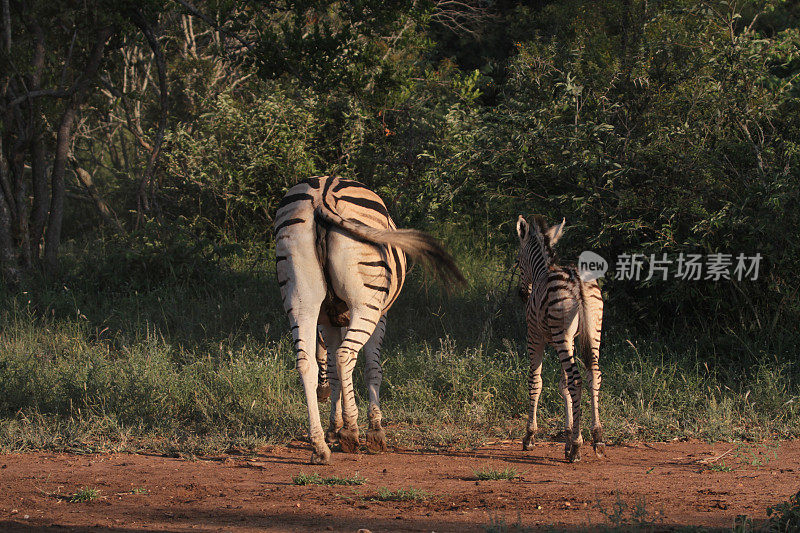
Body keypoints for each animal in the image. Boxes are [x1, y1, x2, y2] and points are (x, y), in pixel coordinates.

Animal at [276, 177, 462, 464]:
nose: (322, 395)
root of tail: (323, 193)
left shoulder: (329, 320)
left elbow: (332, 369)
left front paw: (334, 428)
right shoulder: (381, 315)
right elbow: (372, 368)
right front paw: (372, 429)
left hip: (300, 298)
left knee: (305, 363)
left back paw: (319, 446)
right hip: (367, 304)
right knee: (345, 355)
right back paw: (352, 432)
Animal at [516, 214, 604, 460]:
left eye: (517, 260)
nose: (522, 294)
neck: (541, 271)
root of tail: (577, 280)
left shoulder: (535, 336)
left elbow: (536, 381)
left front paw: (530, 436)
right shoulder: (571, 339)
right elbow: (563, 384)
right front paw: (567, 435)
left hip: (560, 334)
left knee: (577, 380)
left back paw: (577, 445)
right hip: (592, 331)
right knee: (593, 375)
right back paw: (597, 437)